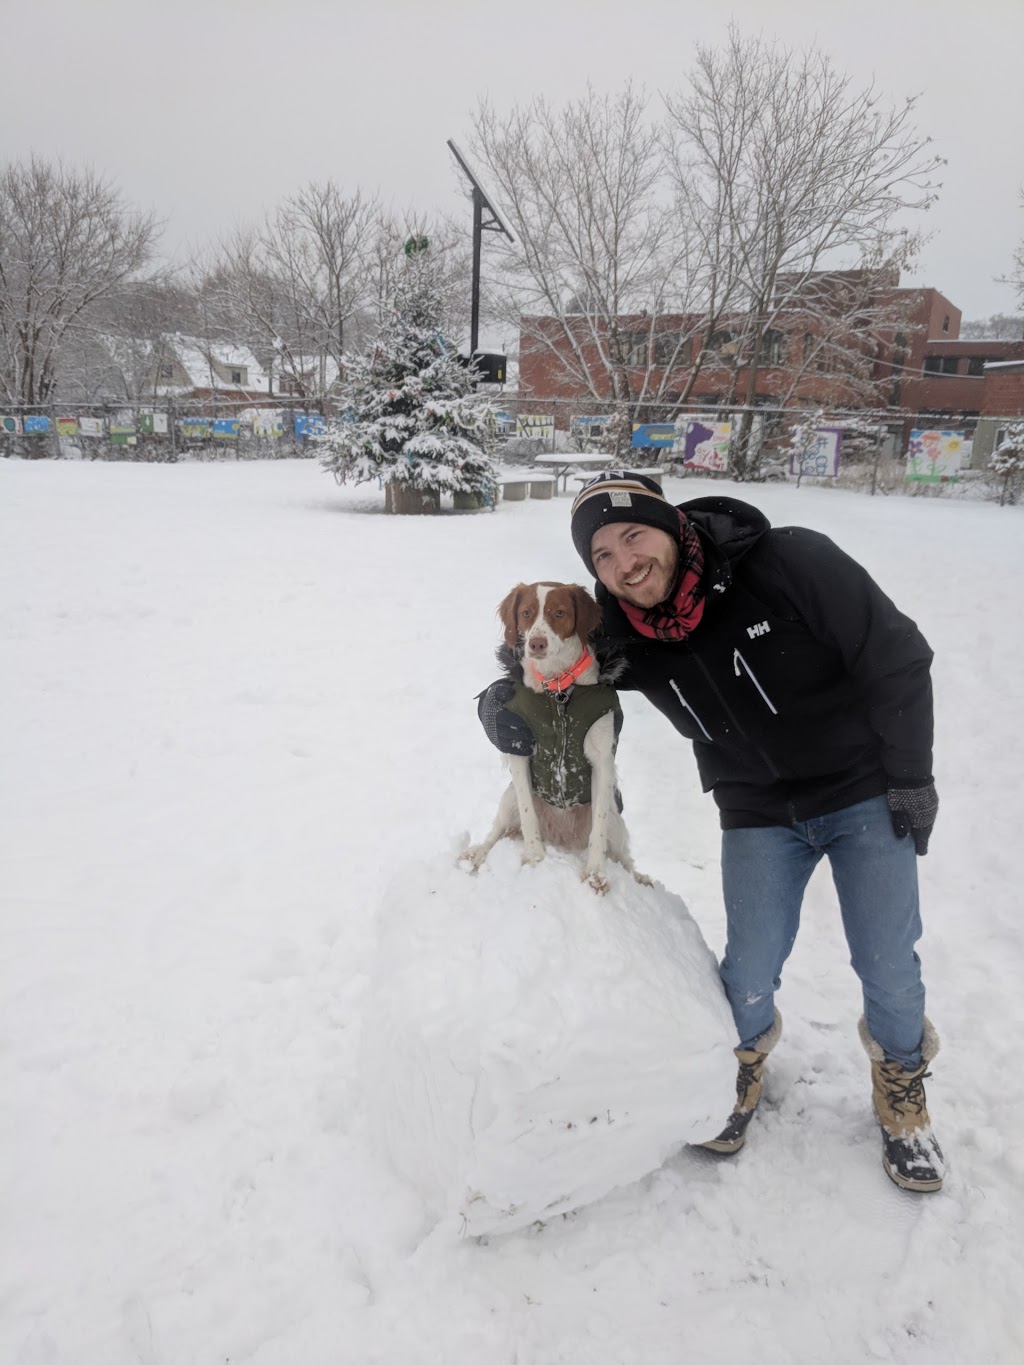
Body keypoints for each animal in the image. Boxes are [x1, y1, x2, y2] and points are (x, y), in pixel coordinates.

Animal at [464, 584, 641, 895]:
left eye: (559, 612)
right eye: (526, 613)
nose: (536, 644)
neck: (557, 686)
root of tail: (562, 837)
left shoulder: (602, 760)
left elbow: (598, 830)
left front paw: (595, 873)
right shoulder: (519, 748)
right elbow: (527, 813)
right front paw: (534, 856)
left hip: (615, 818)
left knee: (623, 856)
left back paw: (642, 879)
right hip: (507, 799)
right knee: (497, 830)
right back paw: (478, 853)